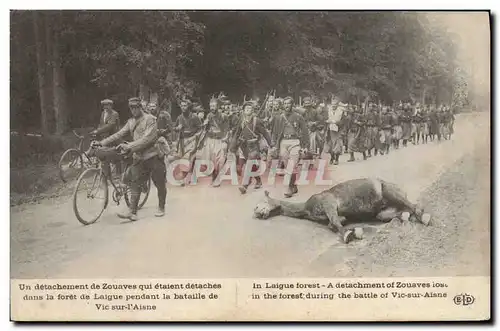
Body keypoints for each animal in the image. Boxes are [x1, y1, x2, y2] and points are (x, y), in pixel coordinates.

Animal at [252, 179, 432, 244]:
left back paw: (425, 218)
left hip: (389, 191)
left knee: (414, 205)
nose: (257, 213)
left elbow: (335, 223)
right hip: (383, 212)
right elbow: (336, 222)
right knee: (403, 211)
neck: (306, 208)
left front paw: (350, 234)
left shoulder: (328, 202)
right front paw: (354, 231)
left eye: (259, 204)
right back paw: (406, 216)